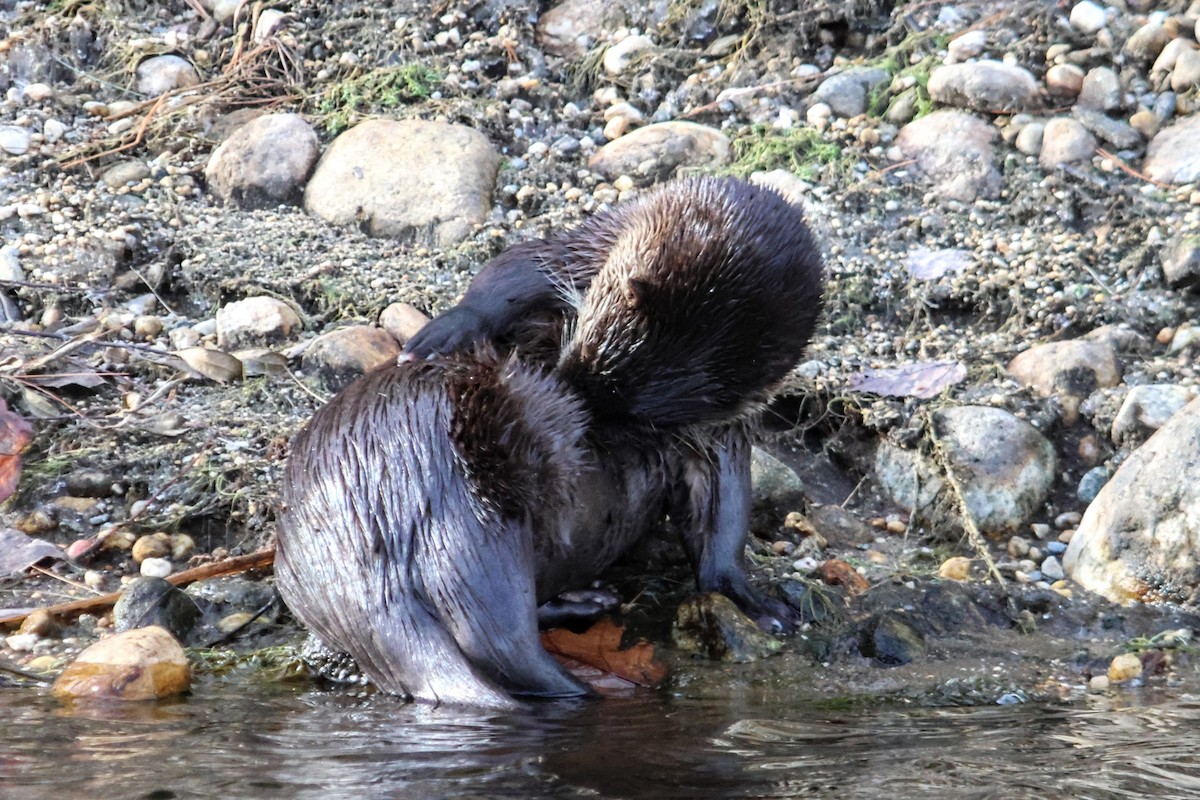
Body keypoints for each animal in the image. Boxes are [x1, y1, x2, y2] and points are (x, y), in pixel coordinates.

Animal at [275, 176, 825, 708]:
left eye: (634, 415)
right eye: (586, 346)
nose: (567, 398)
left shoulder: (719, 425)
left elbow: (721, 509)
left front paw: (746, 596)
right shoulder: (587, 245)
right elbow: (520, 266)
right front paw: (453, 326)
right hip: (471, 495)